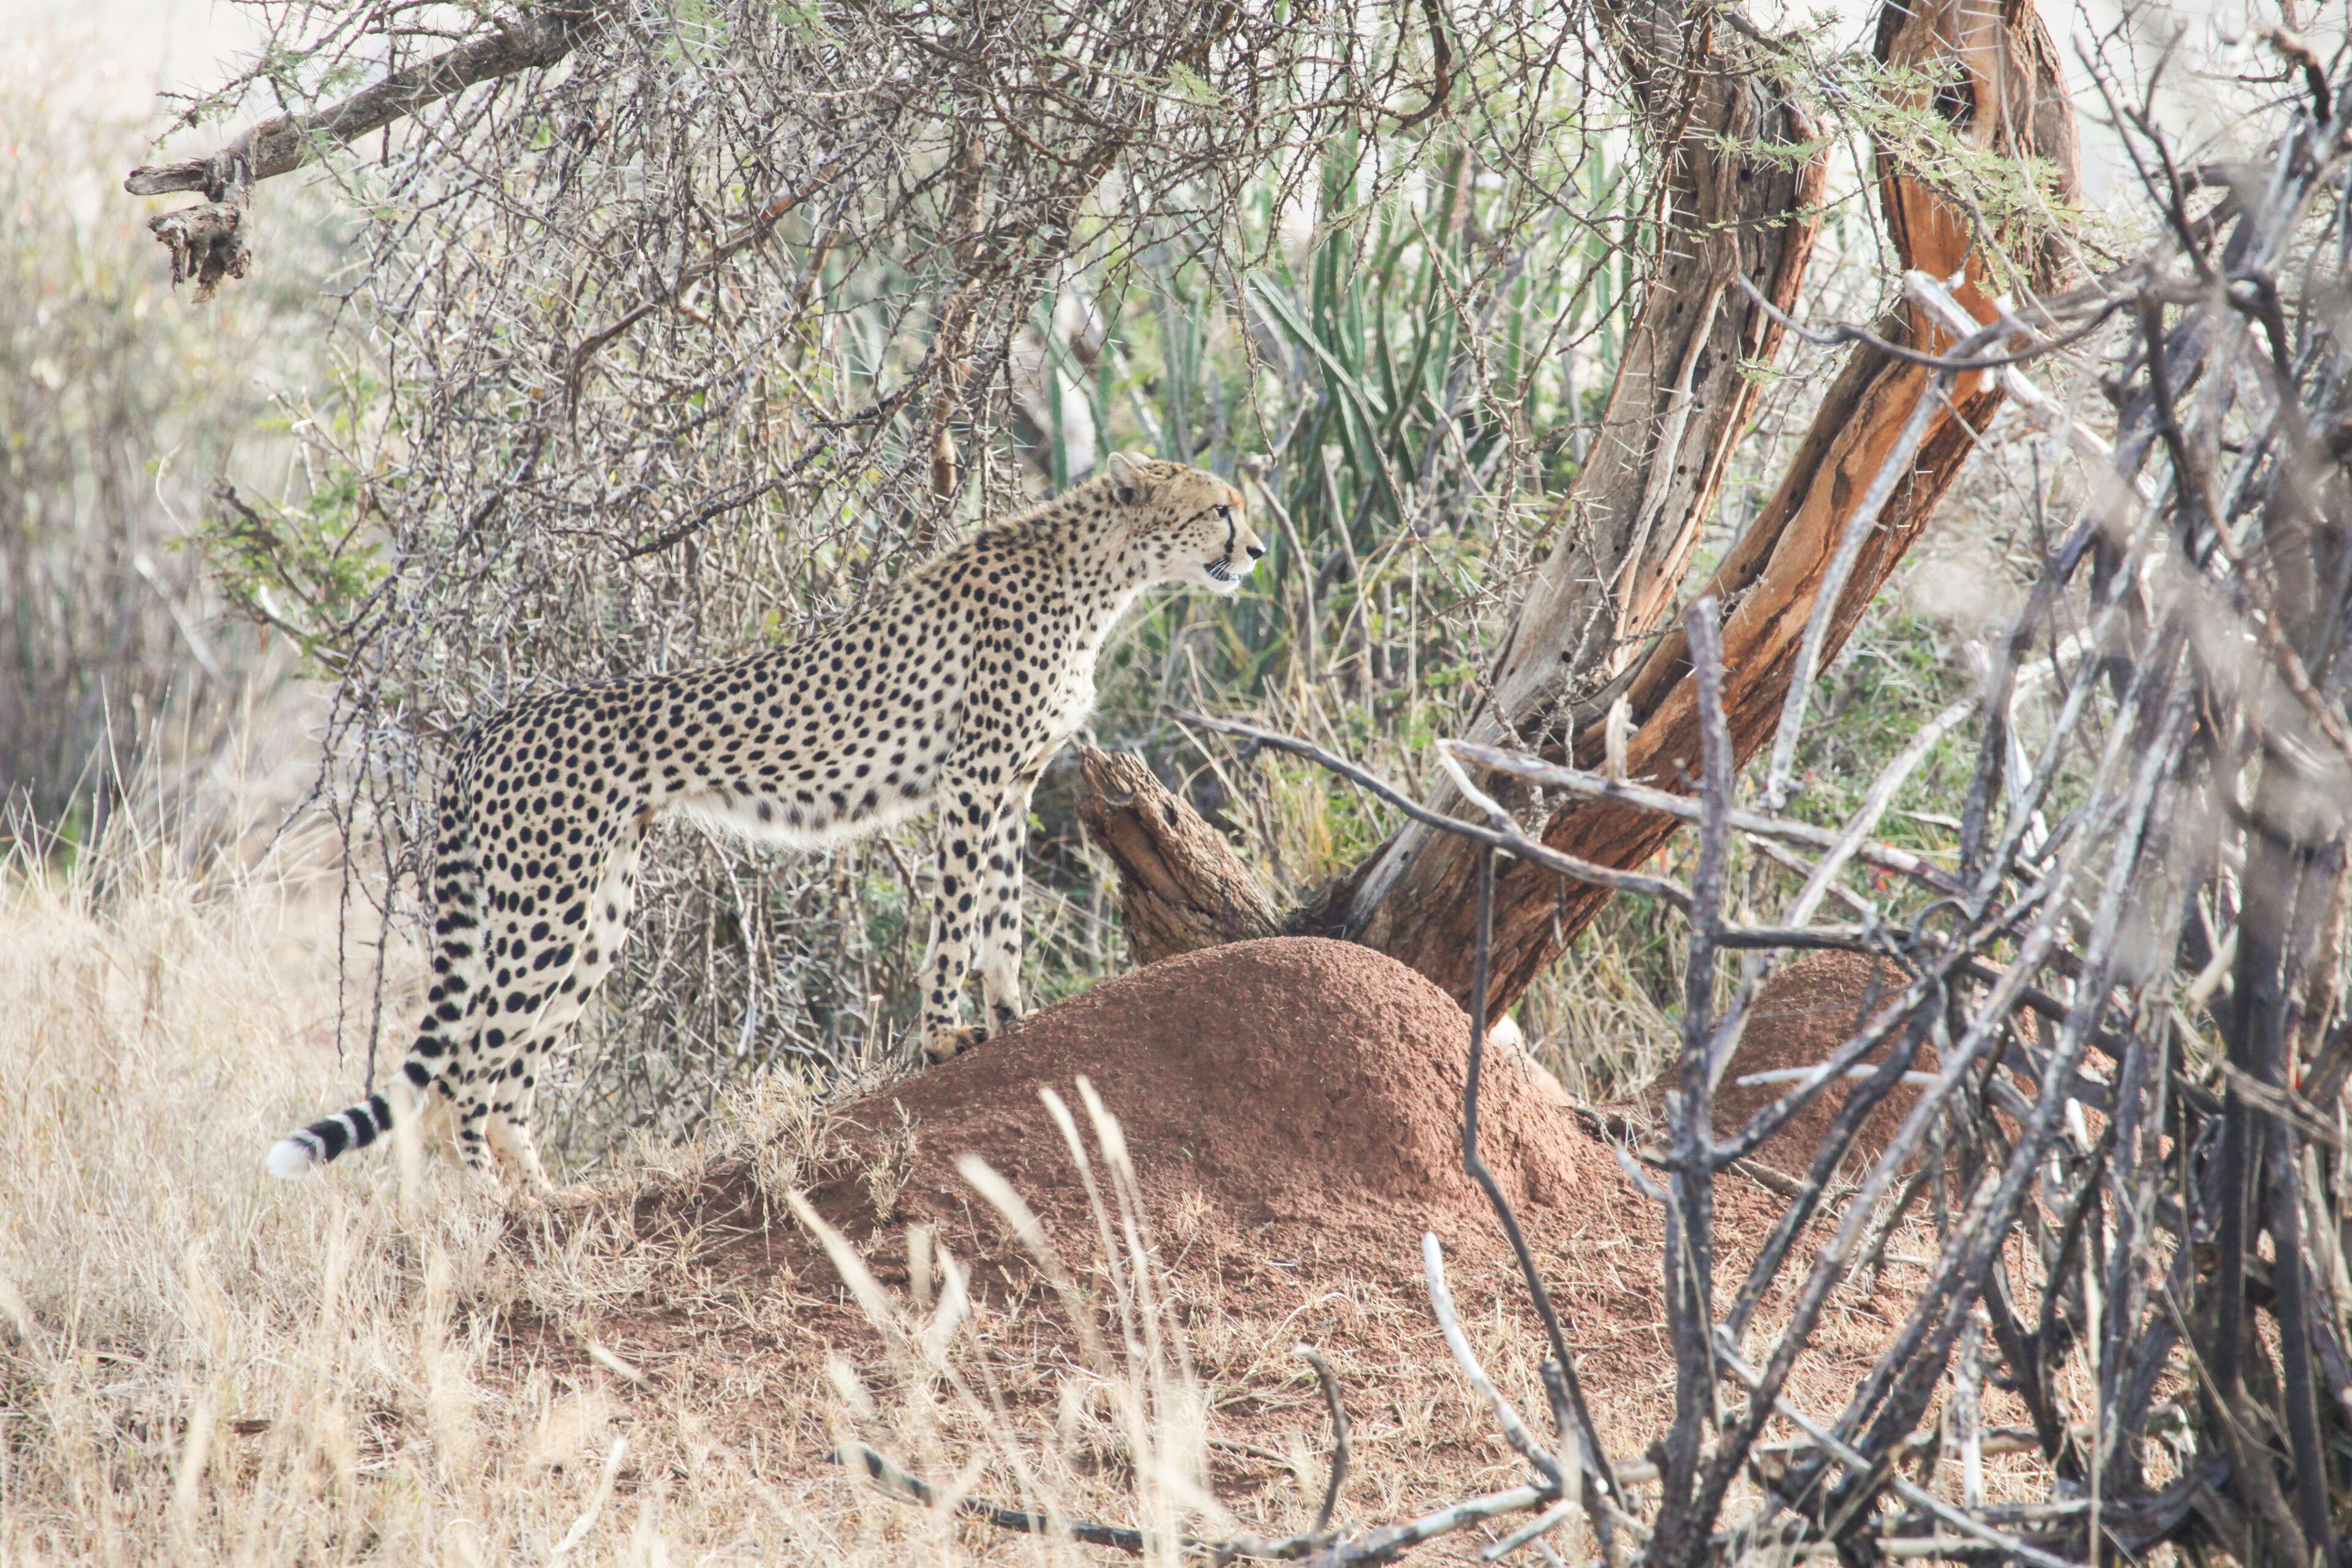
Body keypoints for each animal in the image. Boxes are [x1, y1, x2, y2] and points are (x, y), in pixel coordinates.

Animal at [268, 453, 1263, 1189]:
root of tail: (491, 721)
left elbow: (1003, 918)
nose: (1255, 551)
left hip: (595, 913)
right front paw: (945, 1035)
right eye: (1220, 509)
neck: (1102, 573)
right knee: (465, 1074)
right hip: (543, 910)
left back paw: (546, 1205)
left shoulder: (1014, 785)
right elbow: (956, 921)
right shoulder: (973, 780)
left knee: (508, 1074)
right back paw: (491, 1216)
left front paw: (1015, 1016)